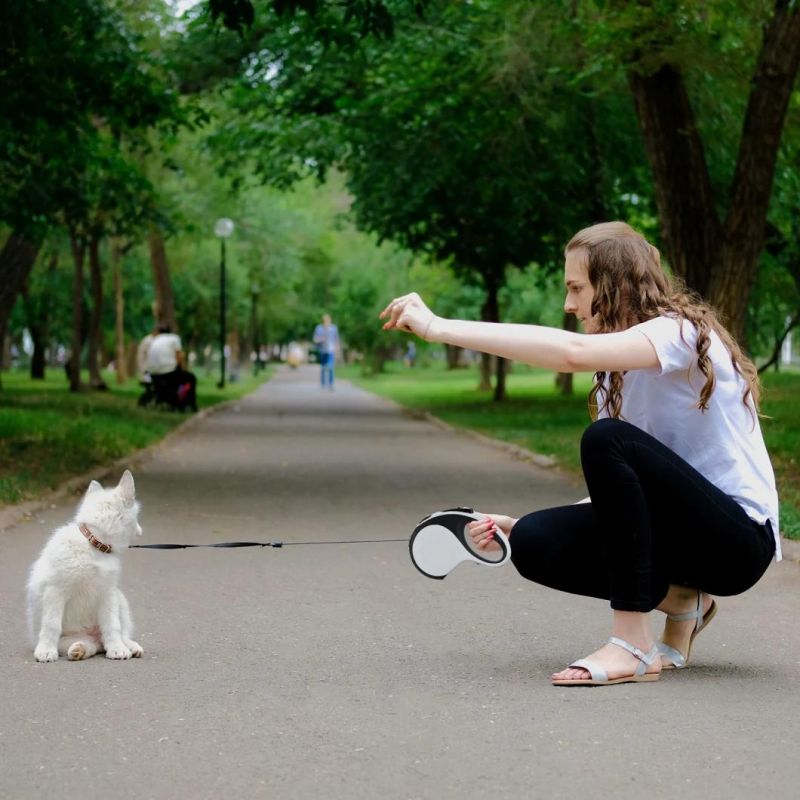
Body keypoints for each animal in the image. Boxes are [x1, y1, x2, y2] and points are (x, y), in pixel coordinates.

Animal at [26, 468, 145, 664]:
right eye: (136, 518)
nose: (140, 532)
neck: (93, 543)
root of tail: (93, 636)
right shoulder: (55, 592)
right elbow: (51, 624)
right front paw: (46, 651)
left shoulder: (108, 593)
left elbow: (112, 625)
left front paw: (117, 648)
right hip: (69, 638)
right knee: (92, 645)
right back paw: (79, 649)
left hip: (119, 598)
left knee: (115, 635)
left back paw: (129, 646)